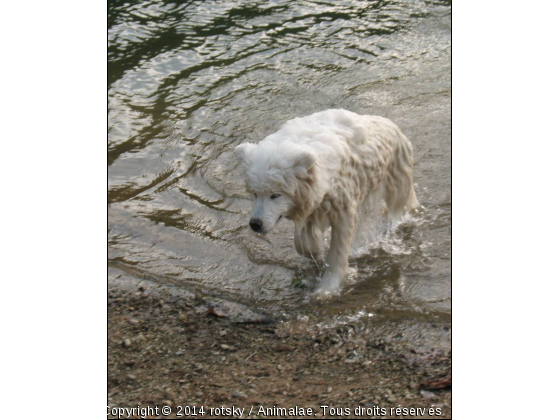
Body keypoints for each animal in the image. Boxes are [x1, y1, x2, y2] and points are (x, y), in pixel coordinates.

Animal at [234, 109, 418, 292]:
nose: (255, 224)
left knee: (400, 205)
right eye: (254, 193)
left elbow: (339, 248)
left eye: (275, 195)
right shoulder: (312, 203)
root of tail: (392, 124)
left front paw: (326, 287)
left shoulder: (341, 203)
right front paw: (314, 251)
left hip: (395, 174)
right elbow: (302, 240)